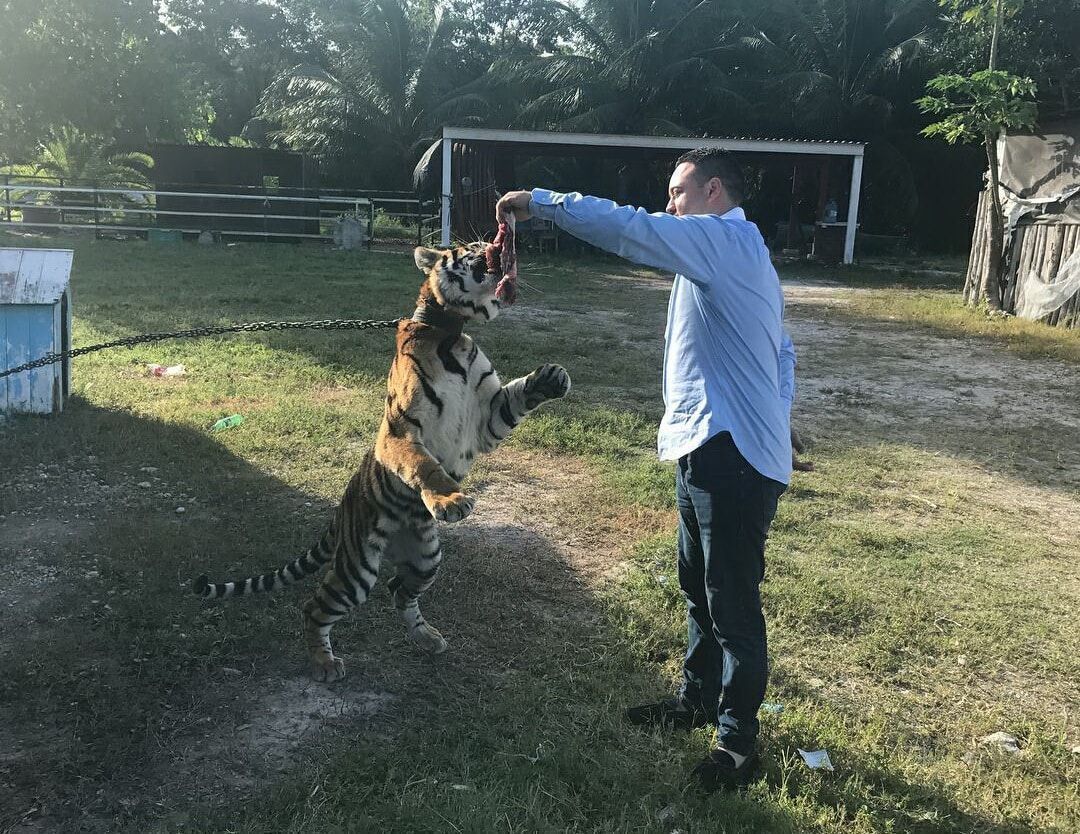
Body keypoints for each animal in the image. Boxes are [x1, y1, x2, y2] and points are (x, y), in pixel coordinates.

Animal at [193, 241, 571, 683]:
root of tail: (341, 510)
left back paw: (426, 638)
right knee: (316, 606)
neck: (450, 335)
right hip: (357, 568)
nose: (495, 248)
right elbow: (423, 465)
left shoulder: (487, 420)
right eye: (472, 247)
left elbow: (515, 397)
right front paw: (450, 500)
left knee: (397, 590)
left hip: (426, 558)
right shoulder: (402, 430)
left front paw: (552, 377)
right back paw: (324, 664)